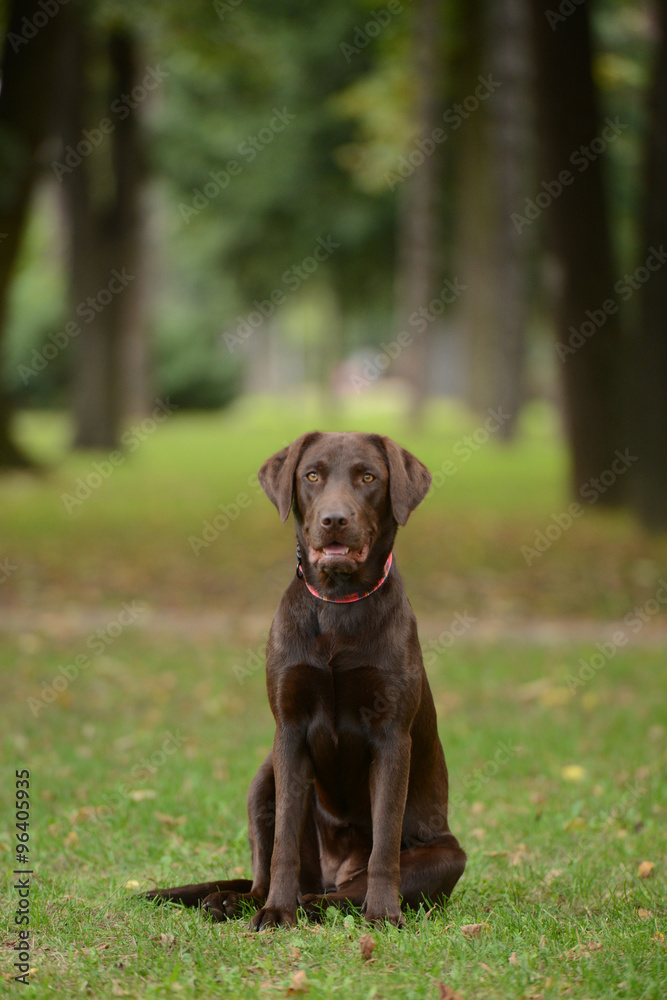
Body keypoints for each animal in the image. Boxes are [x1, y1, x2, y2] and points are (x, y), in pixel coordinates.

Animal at [147, 432, 464, 928]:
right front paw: (278, 911)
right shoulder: (290, 729)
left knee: (345, 893)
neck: (337, 602)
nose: (334, 520)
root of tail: (333, 875)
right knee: (267, 873)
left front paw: (384, 914)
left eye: (368, 477)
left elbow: (384, 844)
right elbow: (283, 847)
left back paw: (321, 904)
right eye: (311, 475)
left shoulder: (393, 735)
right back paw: (237, 900)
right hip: (263, 781)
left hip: (447, 855)